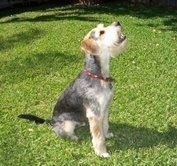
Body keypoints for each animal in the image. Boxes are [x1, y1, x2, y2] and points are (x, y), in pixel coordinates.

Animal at [18, 21, 127, 158]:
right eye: (101, 32)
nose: (117, 22)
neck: (98, 76)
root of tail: (51, 121)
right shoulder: (95, 113)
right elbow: (98, 136)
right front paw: (102, 153)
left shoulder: (105, 108)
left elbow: (105, 125)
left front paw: (107, 134)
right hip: (66, 125)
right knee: (62, 133)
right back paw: (74, 137)